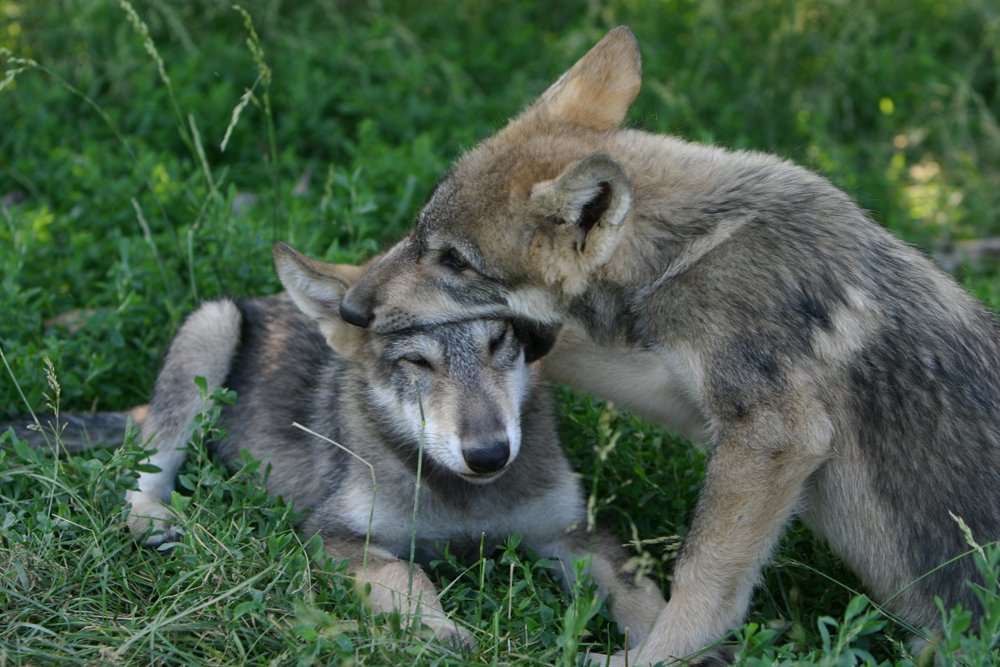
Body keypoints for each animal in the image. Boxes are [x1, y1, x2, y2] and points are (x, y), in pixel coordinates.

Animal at [7, 244, 668, 652]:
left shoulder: (571, 532)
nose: (489, 455)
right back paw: (157, 522)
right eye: (416, 362)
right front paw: (440, 633)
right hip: (210, 329)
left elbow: (641, 594)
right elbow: (408, 577)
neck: (460, 499)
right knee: (146, 466)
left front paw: (673, 643)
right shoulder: (336, 535)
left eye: (499, 343)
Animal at [334, 27, 1000, 667]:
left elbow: (699, 578)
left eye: (454, 261)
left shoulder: (772, 437)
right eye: (418, 232)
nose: (352, 310)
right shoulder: (690, 398)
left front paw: (658, 657)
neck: (690, 247)